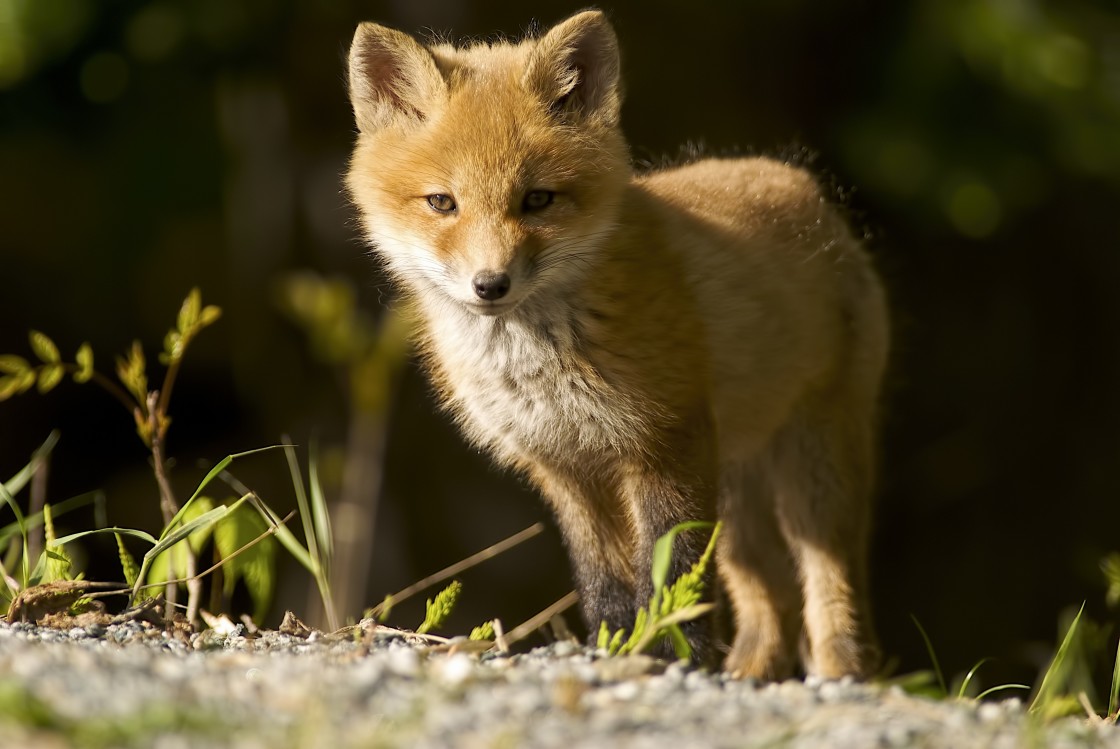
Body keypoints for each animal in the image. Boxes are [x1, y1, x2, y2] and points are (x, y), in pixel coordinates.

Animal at [344, 10, 887, 676]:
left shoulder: (666, 446)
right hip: (736, 486)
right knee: (773, 599)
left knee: (828, 584)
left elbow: (675, 576)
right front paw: (614, 649)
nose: (490, 285)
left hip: (812, 469)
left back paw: (842, 671)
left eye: (537, 199)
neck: (540, 366)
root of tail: (806, 189)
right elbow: (604, 581)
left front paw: (674, 656)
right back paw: (751, 673)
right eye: (442, 202)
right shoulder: (566, 468)